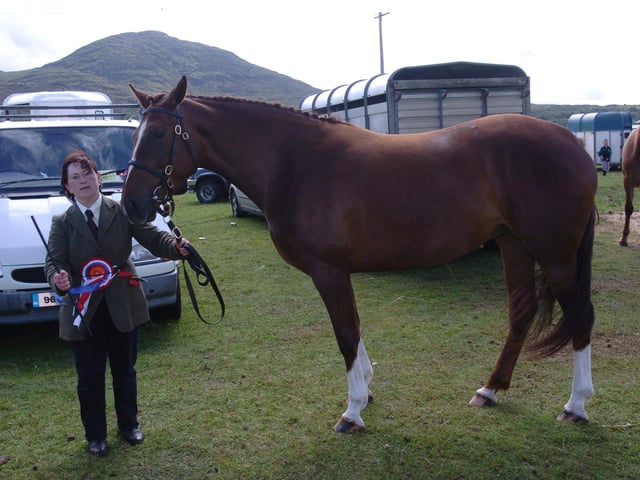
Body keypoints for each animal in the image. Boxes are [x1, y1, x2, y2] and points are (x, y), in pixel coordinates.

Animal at [122, 76, 597, 433]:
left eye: (159, 134)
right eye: (135, 134)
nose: (131, 206)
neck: (296, 162)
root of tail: (573, 143)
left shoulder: (328, 270)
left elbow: (345, 334)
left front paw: (351, 411)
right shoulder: (340, 272)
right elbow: (354, 327)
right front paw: (366, 390)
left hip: (556, 255)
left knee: (580, 316)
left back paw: (576, 405)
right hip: (514, 245)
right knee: (521, 311)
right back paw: (491, 389)